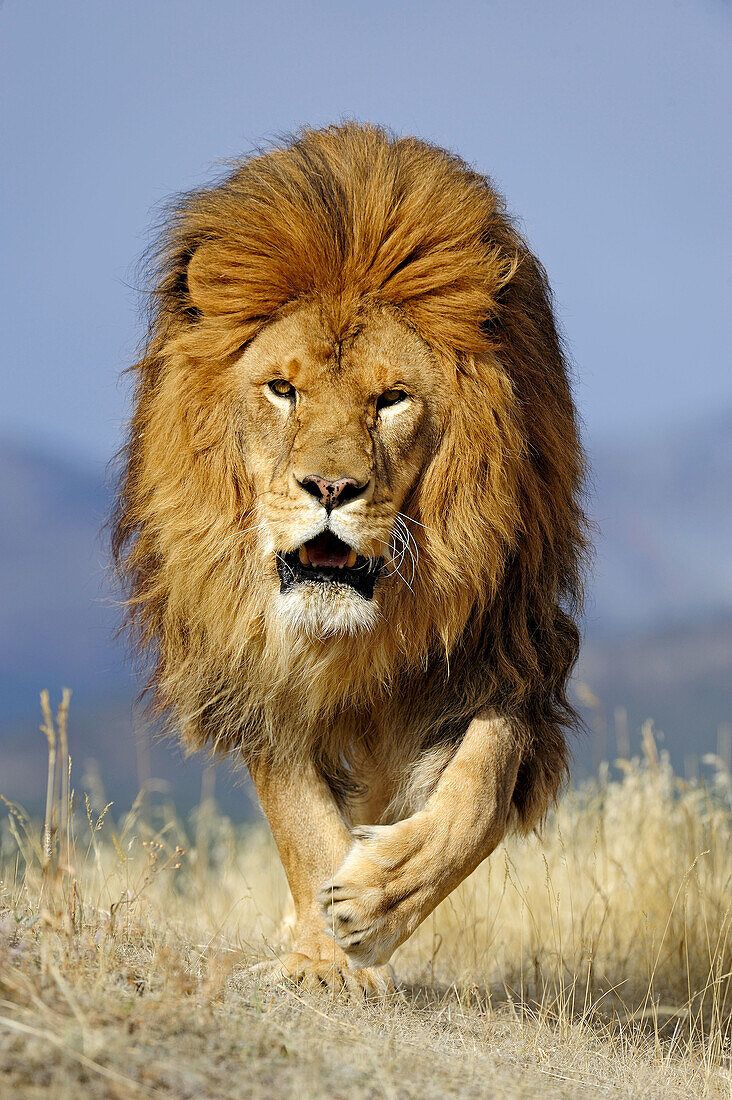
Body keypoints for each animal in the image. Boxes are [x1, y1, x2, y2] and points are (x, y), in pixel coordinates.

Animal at [113, 122, 586, 995]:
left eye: (391, 399)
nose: (330, 487)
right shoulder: (251, 657)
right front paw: (325, 958)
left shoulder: (506, 642)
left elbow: (478, 790)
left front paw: (376, 899)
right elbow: (300, 813)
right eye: (282, 389)